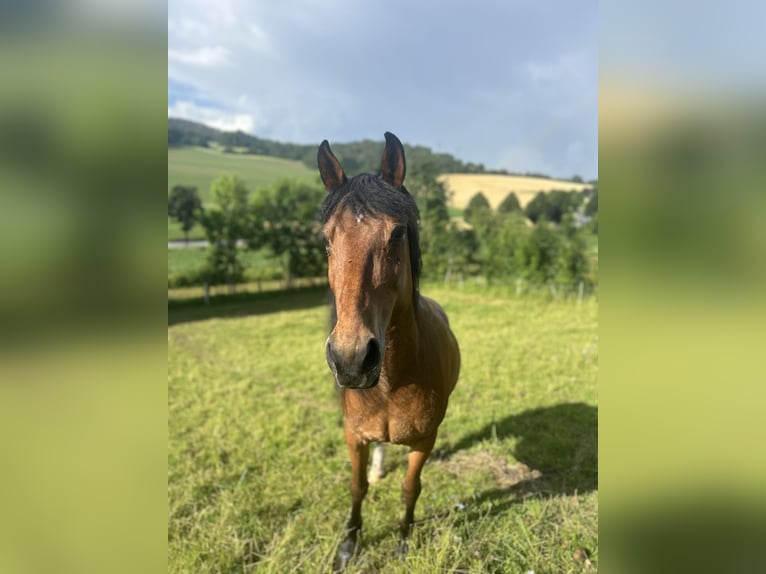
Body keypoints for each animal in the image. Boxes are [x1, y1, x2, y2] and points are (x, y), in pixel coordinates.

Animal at [318, 132, 462, 572]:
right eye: (326, 239)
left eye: (397, 234)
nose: (350, 358)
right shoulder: (354, 436)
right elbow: (356, 487)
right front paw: (348, 546)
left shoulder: (425, 440)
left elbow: (410, 487)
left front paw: (402, 542)